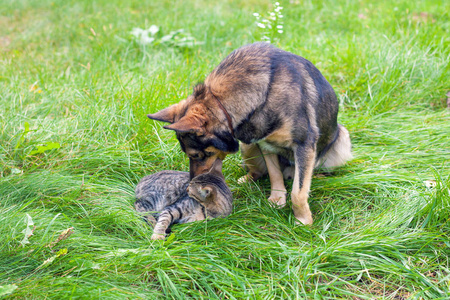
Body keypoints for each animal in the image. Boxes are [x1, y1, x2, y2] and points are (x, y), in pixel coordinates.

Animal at [148, 42, 352, 225]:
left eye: (197, 155)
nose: (190, 185)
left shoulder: (304, 144)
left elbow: (298, 192)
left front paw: (303, 220)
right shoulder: (264, 143)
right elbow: (274, 174)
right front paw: (277, 199)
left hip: (342, 139)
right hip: (248, 147)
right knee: (259, 171)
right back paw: (247, 179)